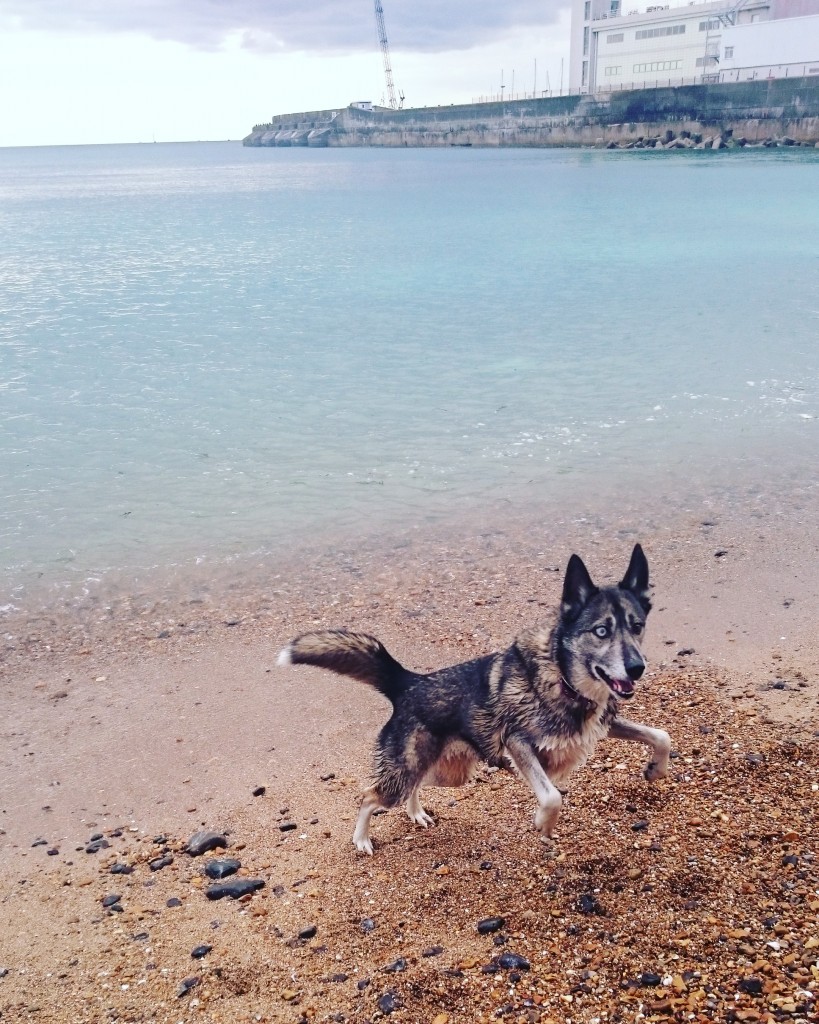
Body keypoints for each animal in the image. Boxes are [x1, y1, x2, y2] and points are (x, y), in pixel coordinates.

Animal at [278, 544, 667, 856]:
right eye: (601, 631)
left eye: (637, 626)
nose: (636, 668)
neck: (563, 678)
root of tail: (408, 682)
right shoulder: (517, 743)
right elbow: (552, 796)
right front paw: (544, 823)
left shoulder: (602, 724)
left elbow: (661, 735)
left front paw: (656, 769)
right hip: (407, 771)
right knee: (370, 796)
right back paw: (361, 839)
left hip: (447, 771)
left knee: (414, 785)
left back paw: (415, 812)